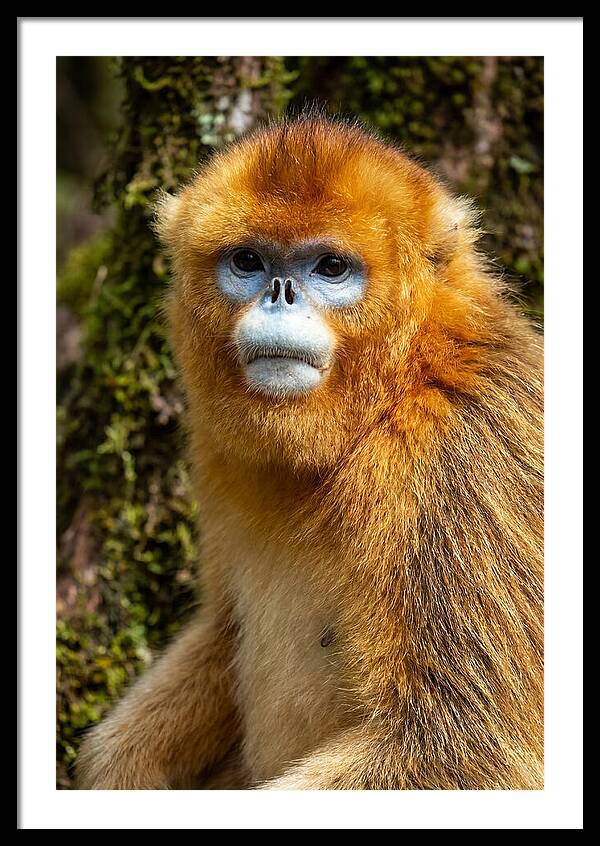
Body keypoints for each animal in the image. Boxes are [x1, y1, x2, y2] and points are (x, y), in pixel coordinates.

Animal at [76, 115, 543, 790]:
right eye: (248, 260)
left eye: (329, 267)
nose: (280, 292)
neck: (393, 394)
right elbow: (222, 629)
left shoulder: (467, 452)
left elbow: (465, 749)